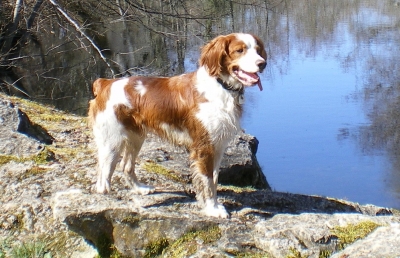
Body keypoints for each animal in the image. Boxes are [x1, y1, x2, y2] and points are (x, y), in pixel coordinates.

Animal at [89, 32, 268, 218]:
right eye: (239, 50)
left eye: (258, 50)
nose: (262, 63)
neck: (221, 87)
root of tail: (105, 83)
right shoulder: (204, 148)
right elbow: (207, 182)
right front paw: (212, 209)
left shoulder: (218, 147)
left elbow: (214, 180)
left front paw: (214, 205)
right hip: (111, 141)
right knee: (103, 180)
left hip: (135, 138)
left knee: (126, 166)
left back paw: (140, 189)